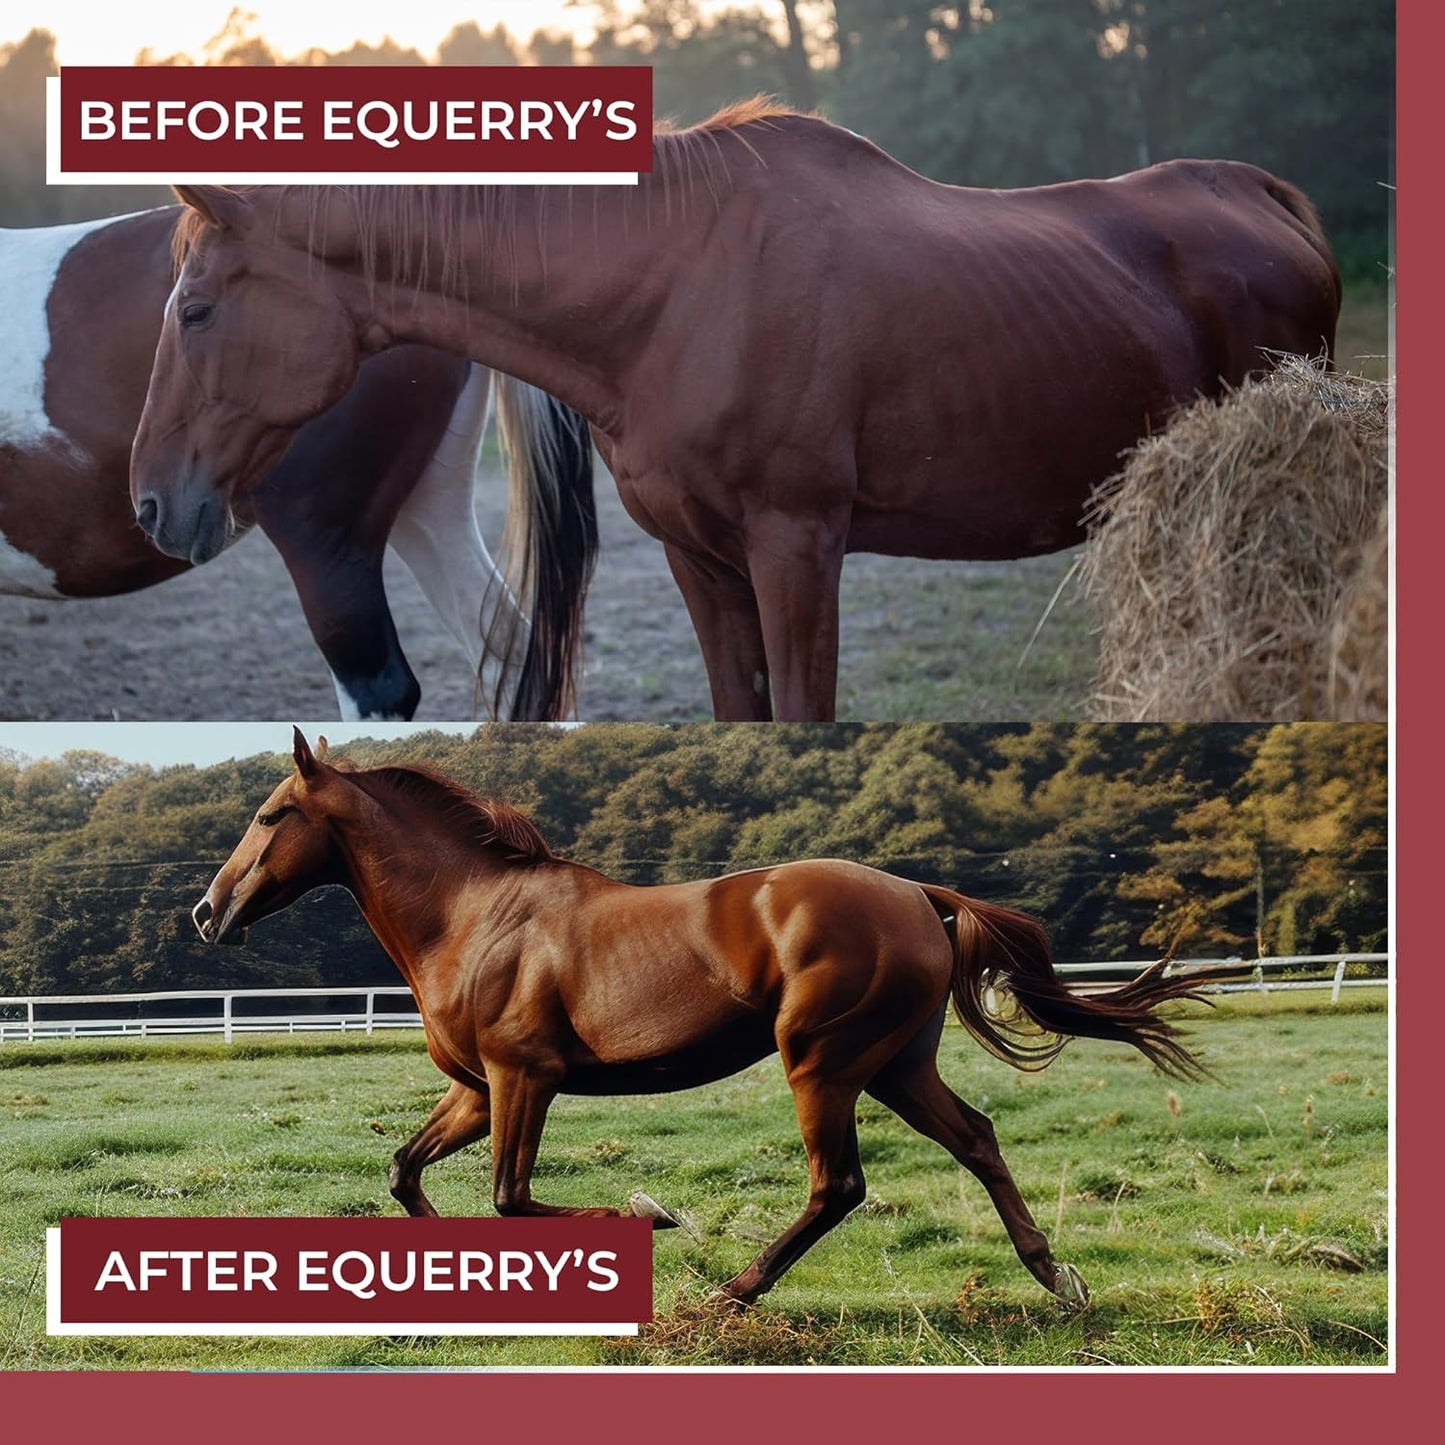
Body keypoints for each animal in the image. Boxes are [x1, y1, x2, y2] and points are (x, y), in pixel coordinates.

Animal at [2, 206, 596, 720]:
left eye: (195, 314)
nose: (148, 504)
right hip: (429, 510)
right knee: (511, 657)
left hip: (325, 546)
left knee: (380, 689)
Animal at [131, 102, 1342, 722]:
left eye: (195, 308)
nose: (148, 501)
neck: (677, 285)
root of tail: (1261, 197)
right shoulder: (701, 560)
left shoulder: (796, 547)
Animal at [191, 728, 1215, 1306]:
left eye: (270, 813)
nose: (206, 912)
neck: (474, 915)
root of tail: (919, 894)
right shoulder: (479, 1090)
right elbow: (407, 1173)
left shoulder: (526, 1078)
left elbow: (511, 1197)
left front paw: (651, 1214)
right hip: (895, 1064)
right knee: (976, 1137)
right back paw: (1055, 1276)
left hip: (821, 1062)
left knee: (839, 1185)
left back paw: (735, 1290)